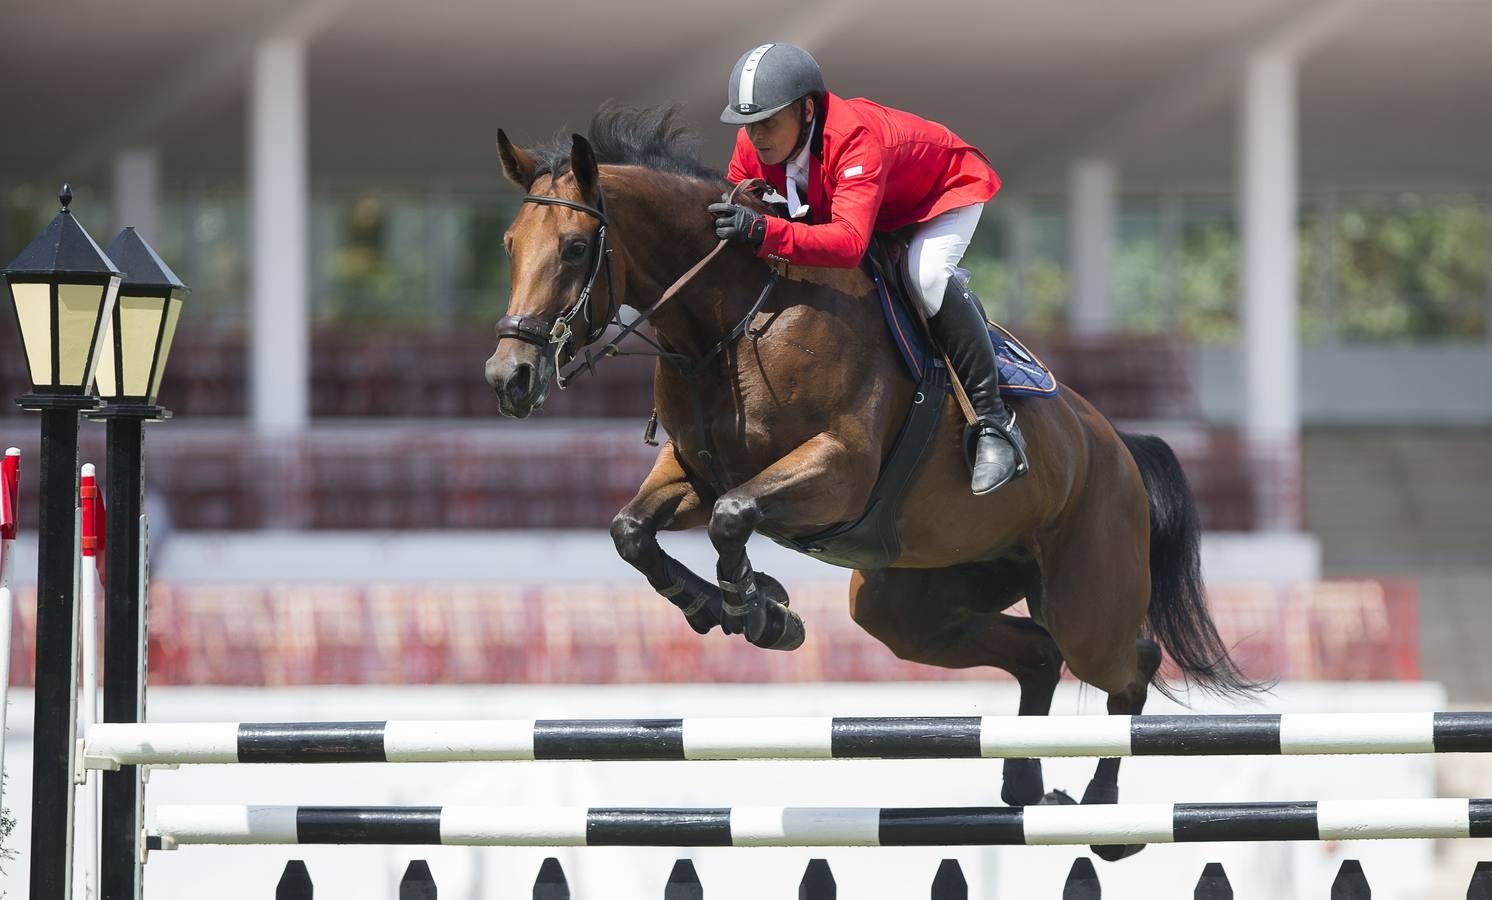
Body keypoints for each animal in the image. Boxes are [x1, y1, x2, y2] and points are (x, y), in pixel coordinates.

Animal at [489, 105, 1259, 859]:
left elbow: (733, 516)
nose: (508, 380)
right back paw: (1022, 785)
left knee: (1131, 665)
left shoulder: (838, 469)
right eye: (508, 245)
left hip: (1085, 602)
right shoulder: (693, 470)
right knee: (1037, 654)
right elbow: (633, 531)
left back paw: (1106, 818)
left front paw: (761, 613)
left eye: (576, 249)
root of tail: (1117, 447)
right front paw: (725, 606)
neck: (735, 318)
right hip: (910, 605)